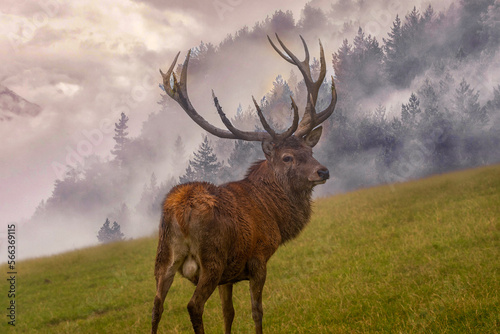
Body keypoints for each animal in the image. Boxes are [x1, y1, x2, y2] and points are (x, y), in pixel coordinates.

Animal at [151, 34, 336, 334]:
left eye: (310, 151)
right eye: (287, 157)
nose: (323, 171)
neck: (275, 215)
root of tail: (179, 212)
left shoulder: (229, 277)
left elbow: (228, 313)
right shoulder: (258, 258)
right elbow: (256, 311)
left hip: (163, 257)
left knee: (156, 306)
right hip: (212, 259)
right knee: (193, 306)